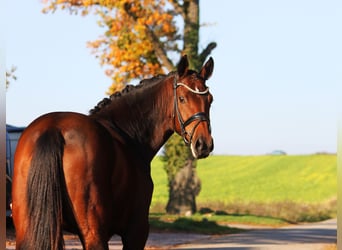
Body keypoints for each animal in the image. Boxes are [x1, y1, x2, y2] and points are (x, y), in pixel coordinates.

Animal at [12, 55, 214, 250]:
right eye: (182, 98)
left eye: (210, 100)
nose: (203, 144)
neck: (127, 133)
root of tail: (54, 128)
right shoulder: (136, 230)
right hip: (94, 234)